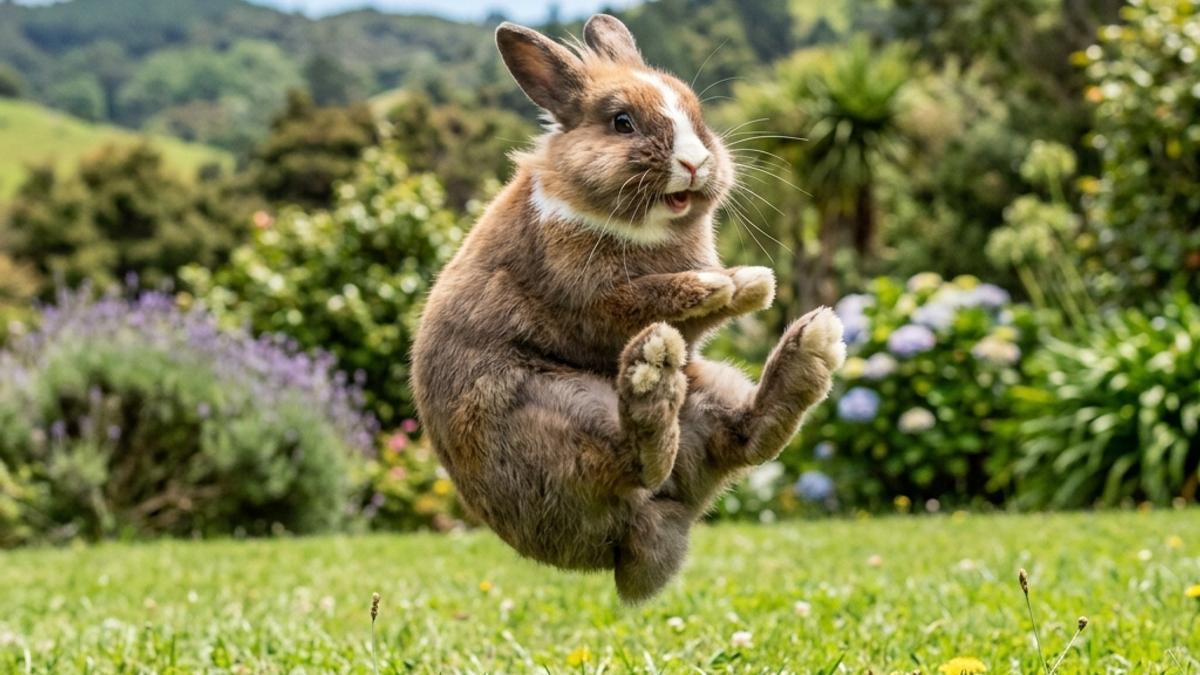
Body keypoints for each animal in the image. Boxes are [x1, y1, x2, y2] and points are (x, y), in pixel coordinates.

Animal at [411, 14, 845, 603]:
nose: (695, 162)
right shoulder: (594, 301)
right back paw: (652, 371)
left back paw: (810, 346)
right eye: (622, 123)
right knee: (637, 461)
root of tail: (634, 540)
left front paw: (754, 283)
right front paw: (729, 284)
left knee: (743, 440)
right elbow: (656, 296)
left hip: (705, 386)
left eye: (699, 117)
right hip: (554, 409)